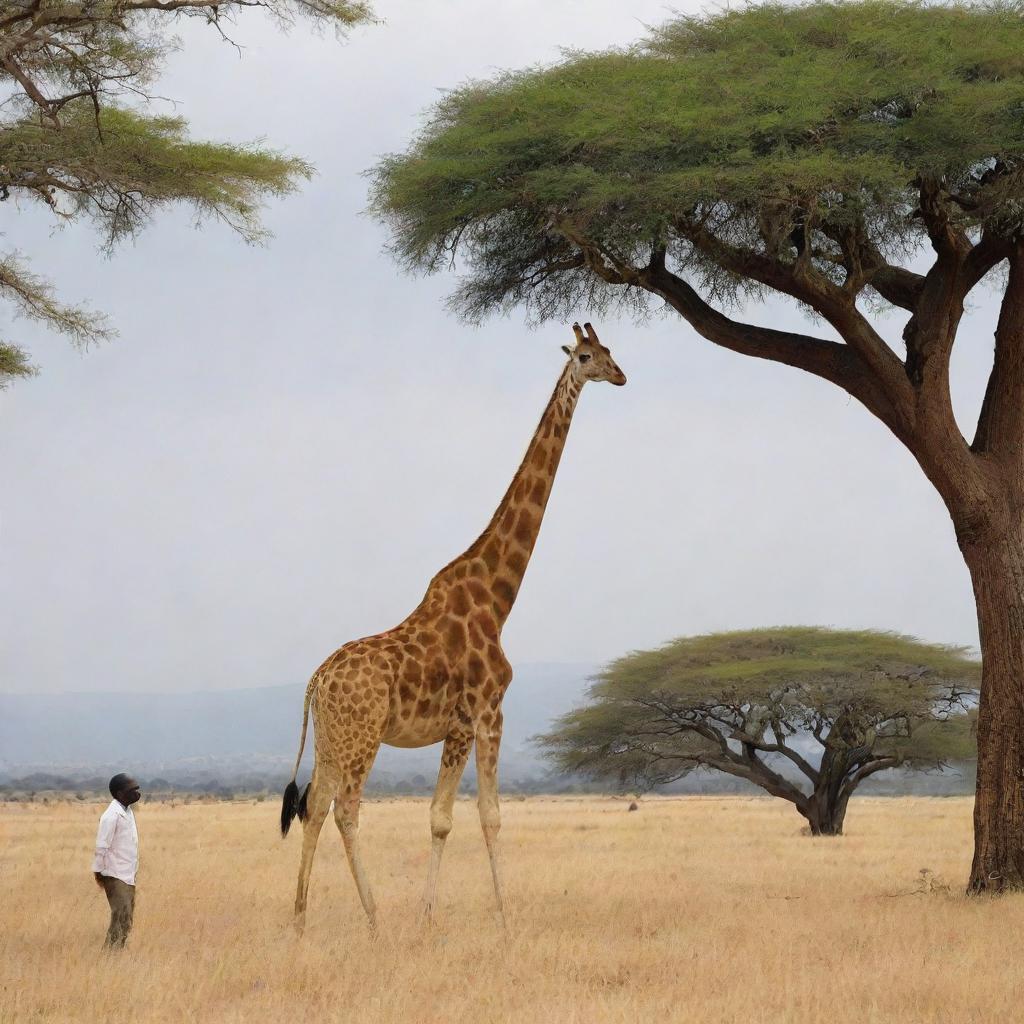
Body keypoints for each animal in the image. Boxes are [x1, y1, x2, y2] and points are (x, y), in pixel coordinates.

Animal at [284, 323, 626, 933]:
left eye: (609, 351)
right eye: (588, 356)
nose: (622, 375)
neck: (497, 598)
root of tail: (316, 680)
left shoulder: (458, 727)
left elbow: (441, 818)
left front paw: (429, 916)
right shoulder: (488, 712)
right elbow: (488, 815)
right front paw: (505, 920)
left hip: (331, 738)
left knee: (315, 805)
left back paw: (300, 920)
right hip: (363, 737)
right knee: (345, 808)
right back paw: (374, 918)